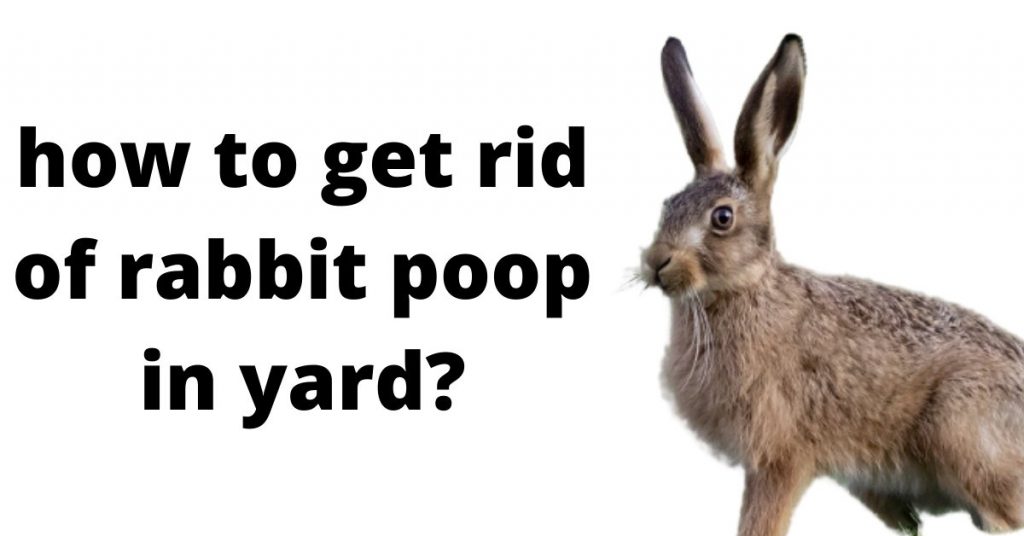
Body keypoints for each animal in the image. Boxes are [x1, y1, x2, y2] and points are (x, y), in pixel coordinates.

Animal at [642, 34, 1024, 536]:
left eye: (722, 218)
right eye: (667, 205)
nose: (654, 263)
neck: (744, 291)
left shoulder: (780, 457)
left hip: (962, 432)